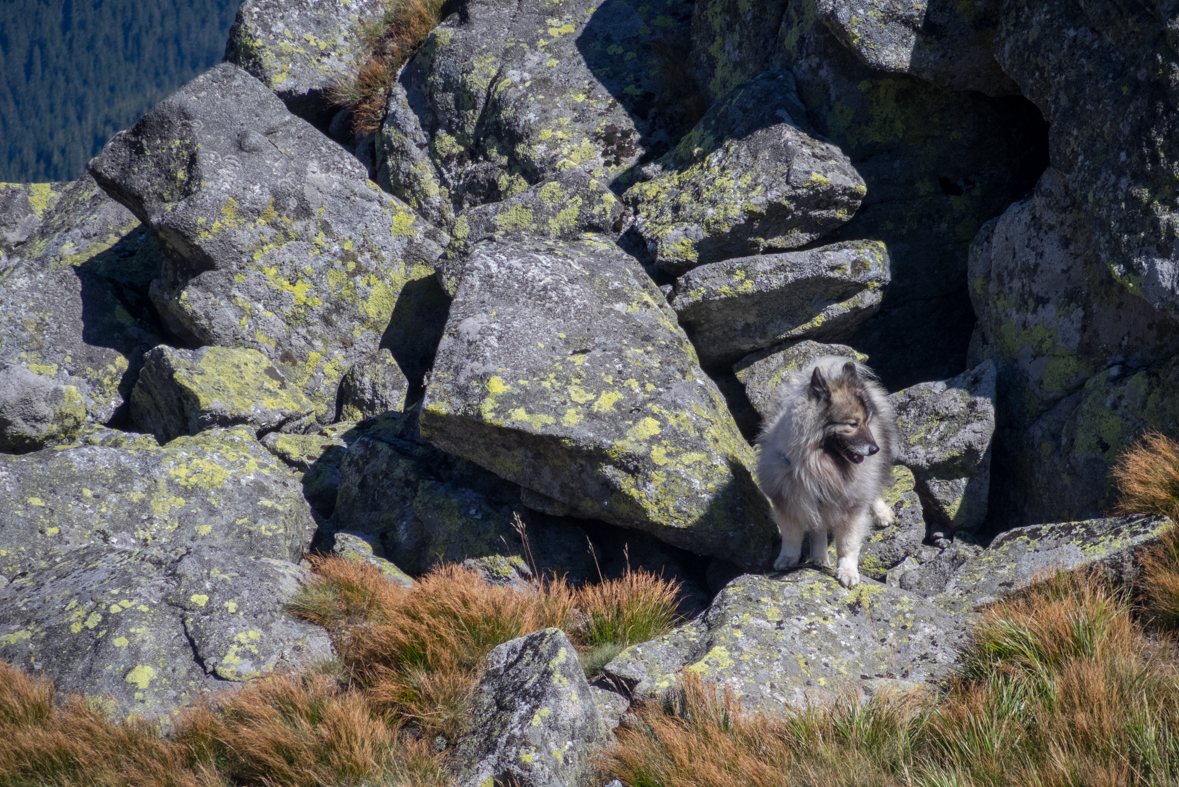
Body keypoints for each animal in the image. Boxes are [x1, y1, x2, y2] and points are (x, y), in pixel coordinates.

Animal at [759, 355, 896, 584]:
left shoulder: (850, 505)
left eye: (866, 422)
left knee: (874, 488)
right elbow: (791, 535)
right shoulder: (789, 499)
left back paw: (882, 513)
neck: (818, 463)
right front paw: (787, 558)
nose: (874, 449)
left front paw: (847, 572)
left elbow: (848, 544)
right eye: (852, 424)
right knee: (818, 528)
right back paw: (819, 557)